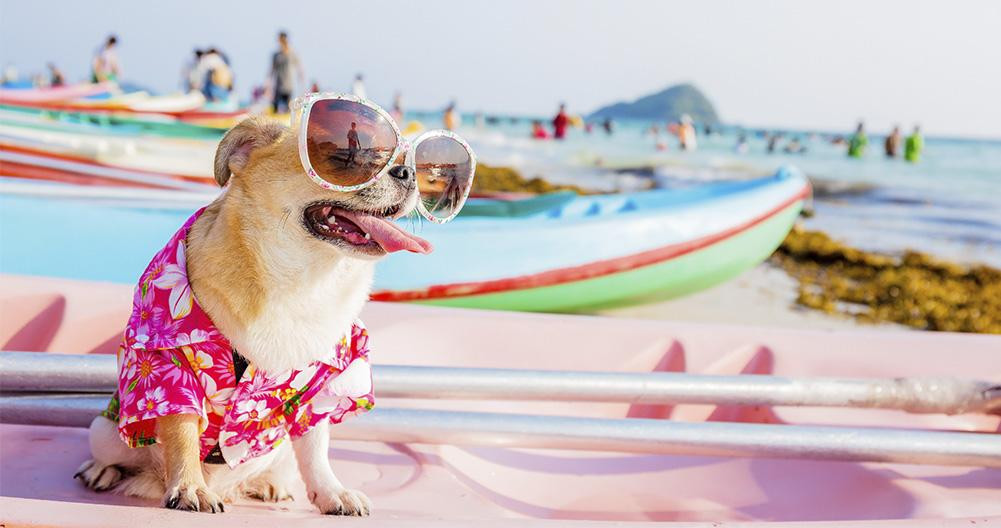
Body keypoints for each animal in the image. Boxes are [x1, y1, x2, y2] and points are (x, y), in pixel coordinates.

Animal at [72, 116, 428, 516]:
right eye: (345, 157)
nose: (410, 172)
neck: (301, 282)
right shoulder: (169, 368)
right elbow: (181, 431)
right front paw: (190, 487)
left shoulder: (321, 390)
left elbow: (316, 449)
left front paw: (332, 492)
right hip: (105, 432)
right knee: (116, 452)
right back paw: (101, 470)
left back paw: (269, 484)